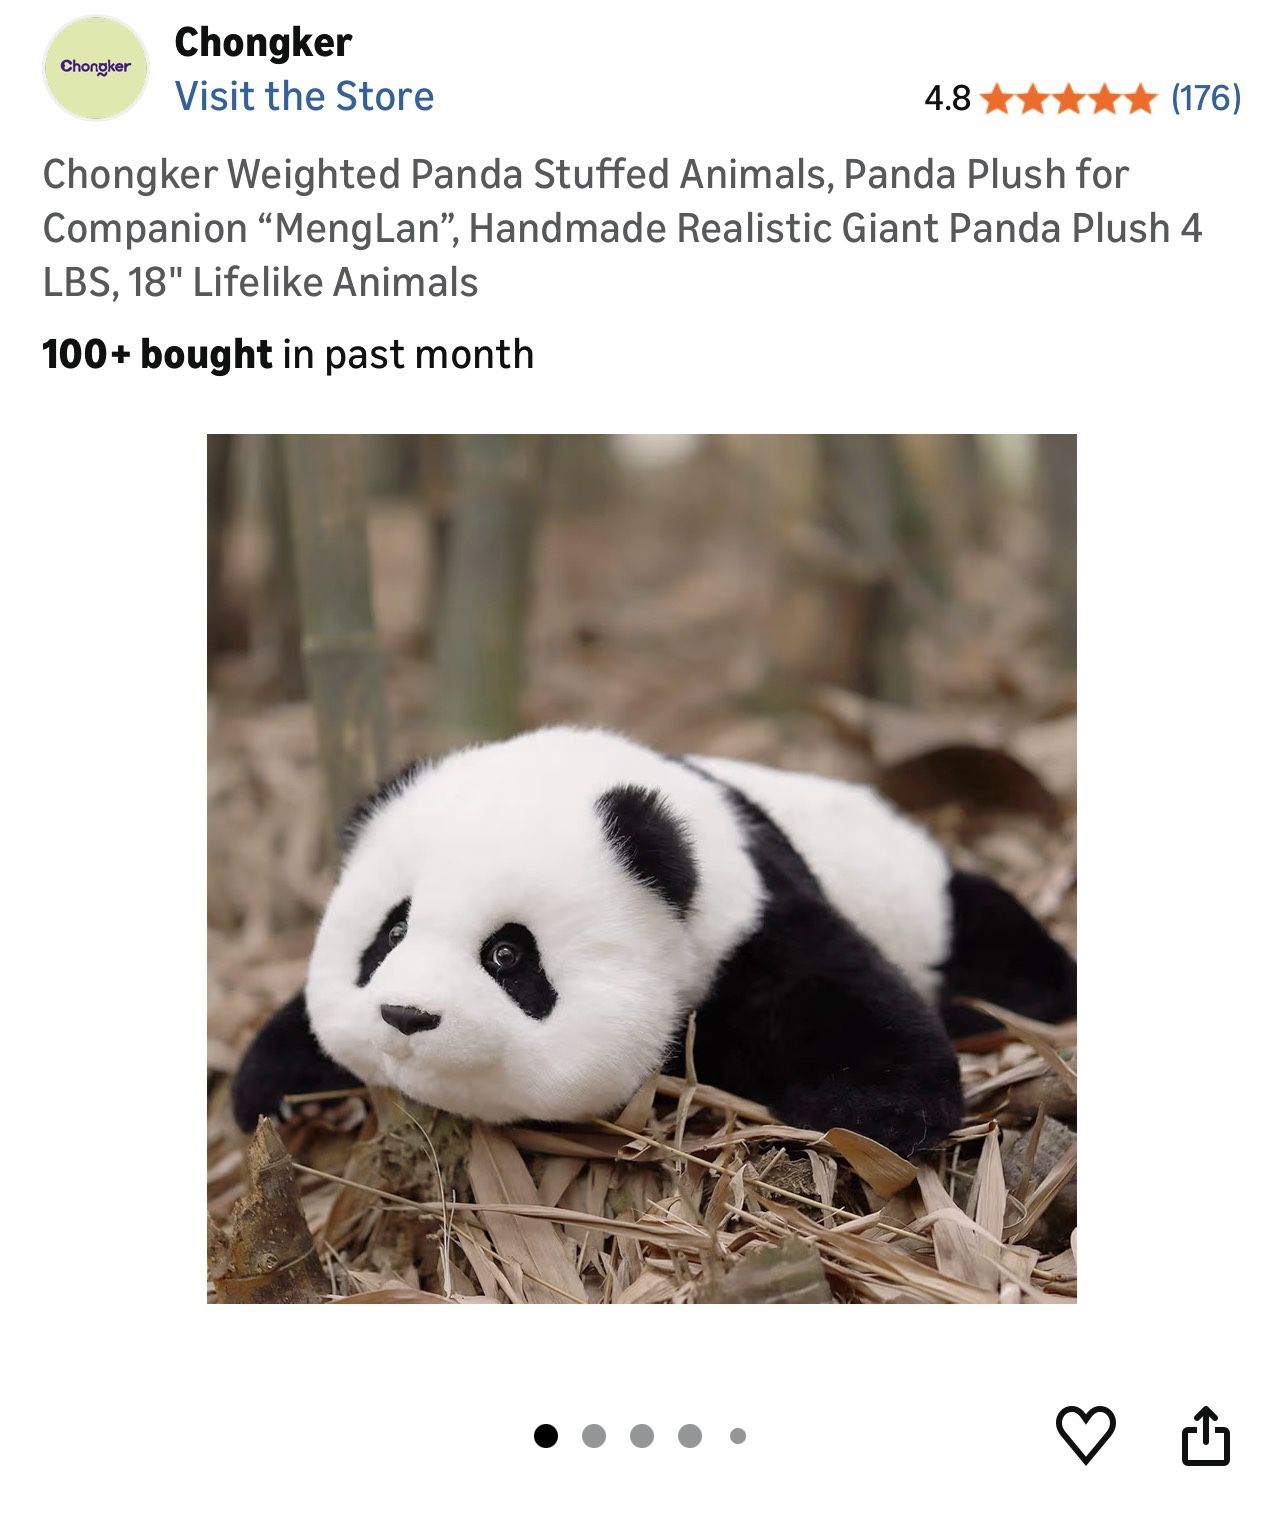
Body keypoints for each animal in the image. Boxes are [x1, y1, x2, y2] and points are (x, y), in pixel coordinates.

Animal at [231, 726, 1075, 1156]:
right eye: (393, 929)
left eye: (508, 954)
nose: (406, 1016)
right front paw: (271, 1093)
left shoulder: (747, 912)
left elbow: (836, 998)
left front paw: (880, 1120)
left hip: (932, 903)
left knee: (994, 940)